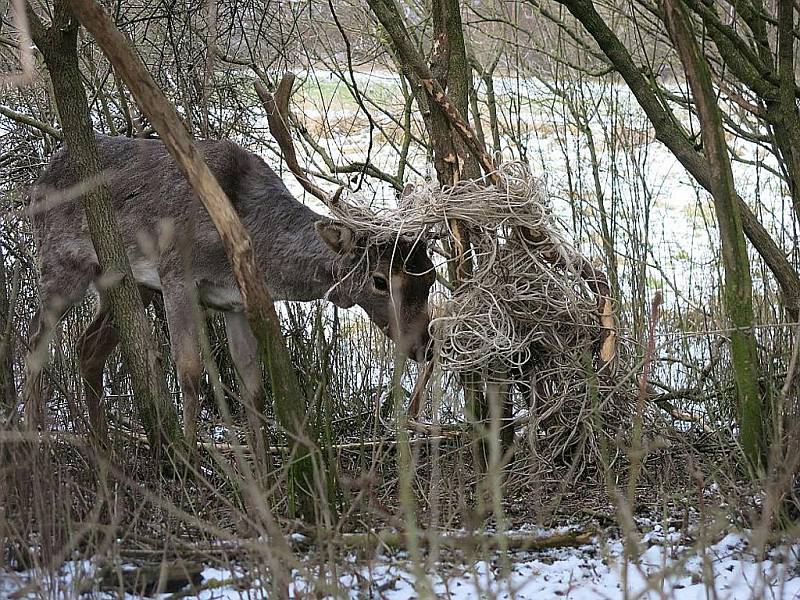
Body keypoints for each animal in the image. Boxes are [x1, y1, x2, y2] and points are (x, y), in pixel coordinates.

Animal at [25, 135, 434, 446]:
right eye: (380, 280)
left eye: (429, 277)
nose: (425, 345)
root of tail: (40, 178)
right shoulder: (175, 274)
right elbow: (190, 371)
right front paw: (190, 456)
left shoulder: (235, 303)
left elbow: (253, 389)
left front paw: (265, 477)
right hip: (60, 261)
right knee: (35, 340)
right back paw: (34, 437)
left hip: (128, 283)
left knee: (87, 346)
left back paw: (103, 448)